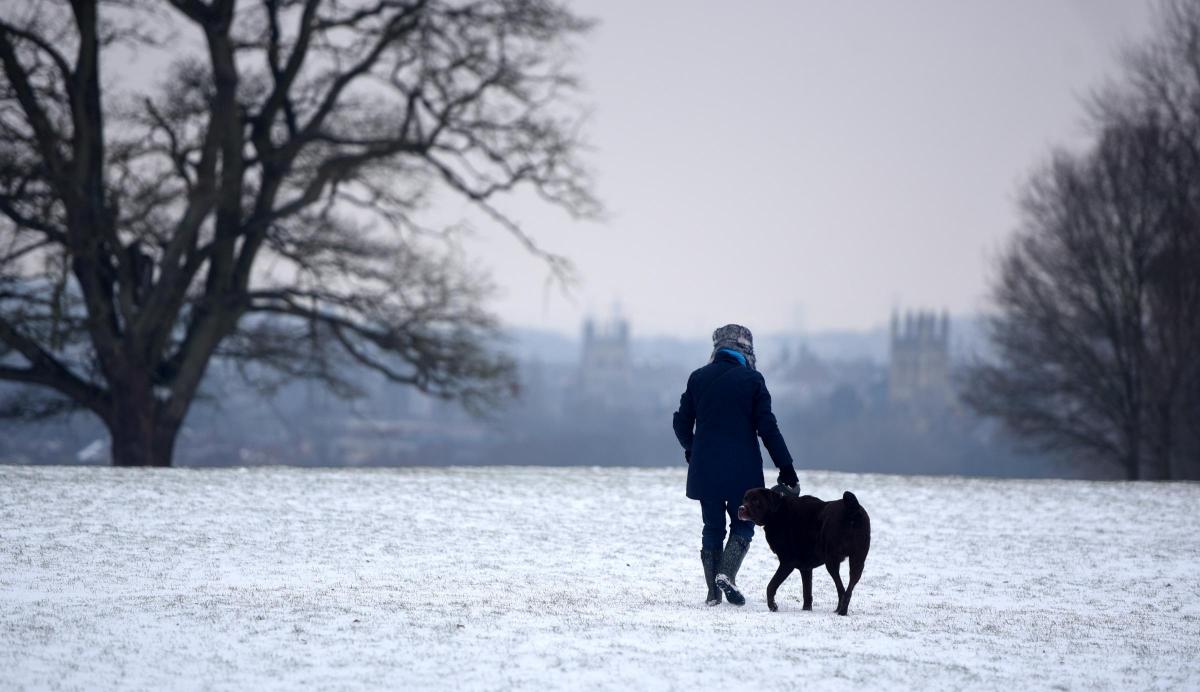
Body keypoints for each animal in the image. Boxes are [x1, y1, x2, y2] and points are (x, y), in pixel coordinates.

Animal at [734, 489, 868, 611]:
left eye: (756, 500)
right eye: (745, 499)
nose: (740, 508)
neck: (777, 512)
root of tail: (852, 509)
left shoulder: (787, 563)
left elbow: (771, 586)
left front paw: (773, 606)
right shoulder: (806, 568)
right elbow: (807, 592)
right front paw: (806, 610)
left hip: (832, 561)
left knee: (842, 589)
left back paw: (841, 611)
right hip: (858, 560)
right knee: (849, 587)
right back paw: (841, 610)